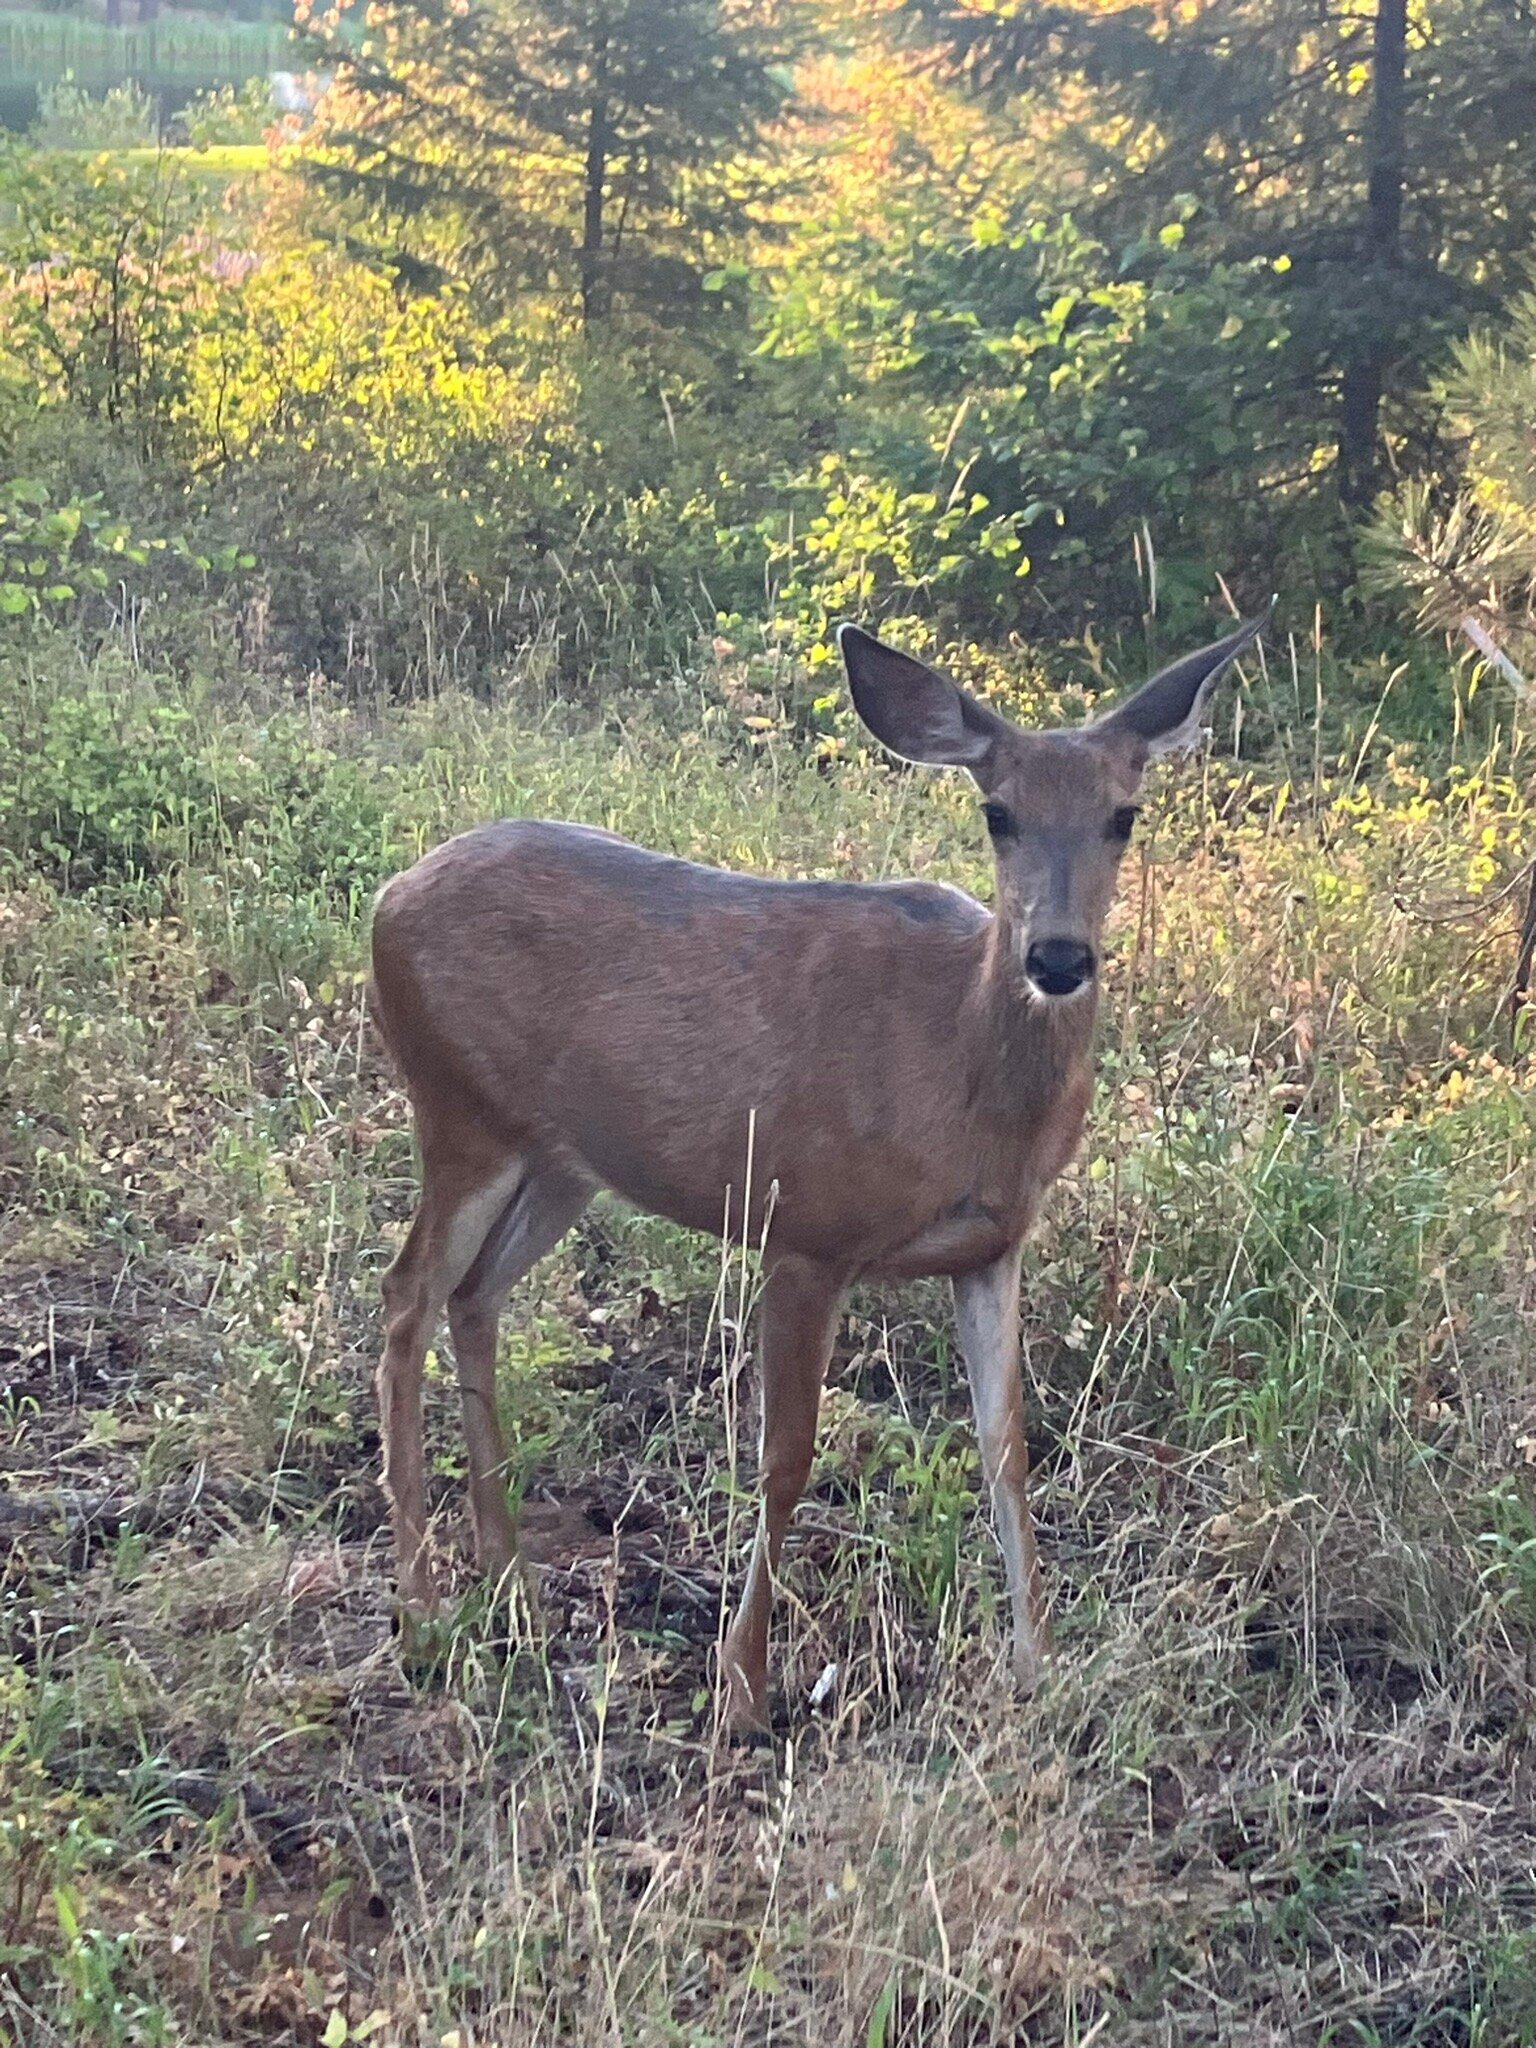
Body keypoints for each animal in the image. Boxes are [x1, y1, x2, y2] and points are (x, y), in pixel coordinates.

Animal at [366, 606, 1269, 1728]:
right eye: (999, 814)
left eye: (1124, 816)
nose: (1058, 957)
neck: (961, 1073)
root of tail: (387, 898)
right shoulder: (806, 1224)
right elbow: (784, 1460)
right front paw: (745, 1688)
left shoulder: (993, 1244)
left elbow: (1007, 1449)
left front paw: (1039, 1666)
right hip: (457, 1108)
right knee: (406, 1294)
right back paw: (420, 1603)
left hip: (562, 1157)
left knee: (474, 1294)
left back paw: (510, 1581)